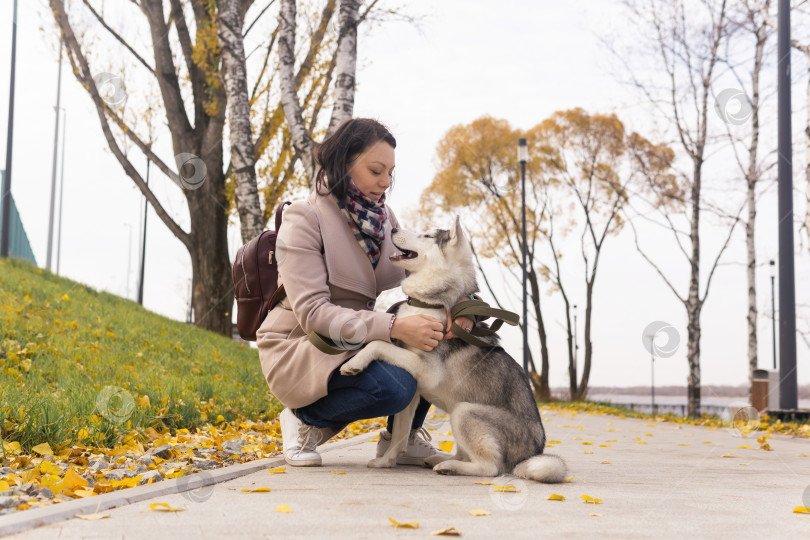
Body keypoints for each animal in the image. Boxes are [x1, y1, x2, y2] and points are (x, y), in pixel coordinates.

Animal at [338, 217, 564, 484]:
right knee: (465, 454)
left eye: (427, 236)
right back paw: (440, 459)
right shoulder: (413, 388)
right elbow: (400, 435)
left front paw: (353, 363)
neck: (430, 304)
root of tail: (530, 455)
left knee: (490, 467)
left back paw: (450, 467)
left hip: (464, 411)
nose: (392, 229)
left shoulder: (427, 370)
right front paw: (386, 462)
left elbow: (377, 344)